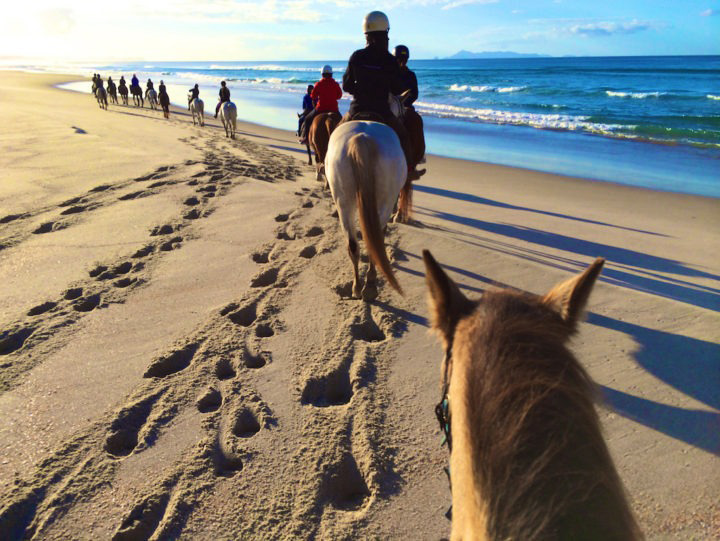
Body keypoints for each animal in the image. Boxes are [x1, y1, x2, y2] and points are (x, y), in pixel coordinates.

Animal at [324, 119, 404, 302]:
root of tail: (362, 138)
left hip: (343, 202)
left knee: (353, 245)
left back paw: (357, 288)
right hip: (384, 202)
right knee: (374, 241)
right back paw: (370, 287)